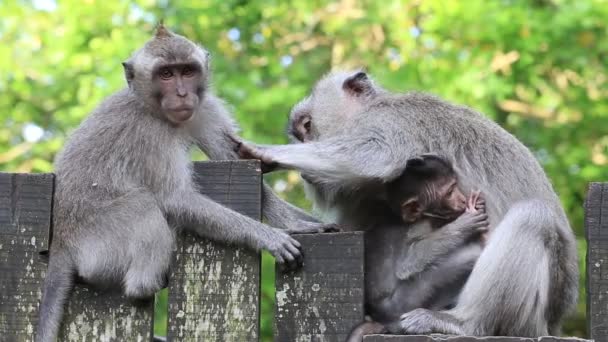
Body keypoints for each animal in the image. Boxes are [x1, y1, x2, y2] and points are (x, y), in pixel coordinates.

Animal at [35, 24, 330, 342]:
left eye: (187, 71)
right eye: (166, 74)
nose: (181, 93)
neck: (152, 108)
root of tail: (61, 240)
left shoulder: (205, 109)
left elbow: (231, 158)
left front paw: (295, 223)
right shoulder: (151, 136)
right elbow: (175, 199)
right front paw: (269, 236)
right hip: (97, 239)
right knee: (142, 205)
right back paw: (143, 286)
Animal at [350, 155, 486, 342]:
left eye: (455, 185)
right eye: (450, 192)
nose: (463, 200)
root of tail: (382, 318)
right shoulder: (421, 225)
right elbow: (407, 264)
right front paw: (467, 222)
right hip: (405, 303)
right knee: (470, 256)